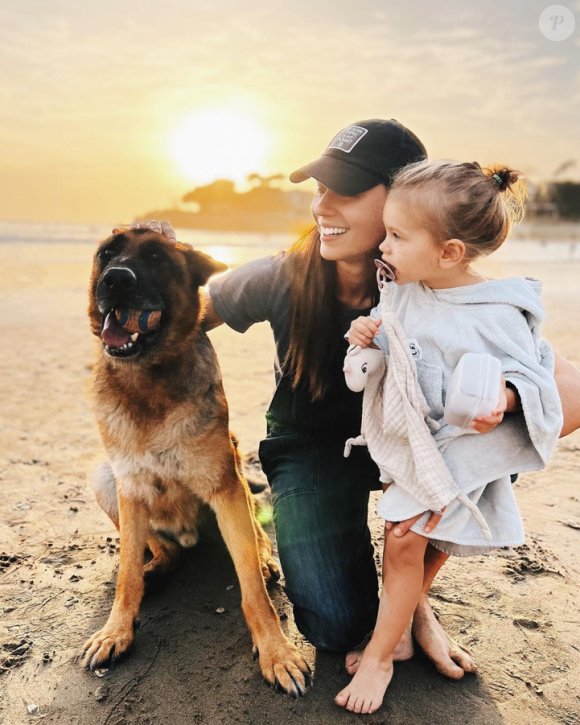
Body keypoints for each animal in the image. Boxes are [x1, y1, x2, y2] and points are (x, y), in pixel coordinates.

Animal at [82, 230, 312, 696]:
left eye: (156, 256)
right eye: (108, 253)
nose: (116, 279)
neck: (147, 382)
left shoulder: (225, 486)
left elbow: (253, 590)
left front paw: (276, 652)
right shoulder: (128, 486)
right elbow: (126, 576)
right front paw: (117, 631)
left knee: (255, 545)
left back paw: (265, 561)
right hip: (103, 478)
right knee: (162, 549)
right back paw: (158, 566)